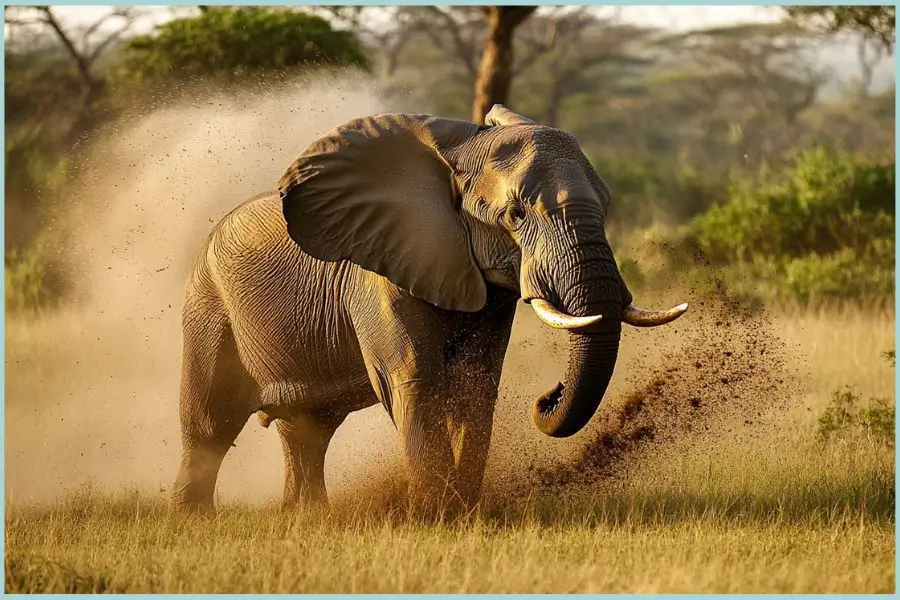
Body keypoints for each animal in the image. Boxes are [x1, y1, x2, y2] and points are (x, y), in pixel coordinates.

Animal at [172, 104, 684, 516]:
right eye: (516, 214)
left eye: (607, 204)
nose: (548, 394)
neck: (461, 152)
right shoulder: (379, 274)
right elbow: (417, 379)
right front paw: (433, 516)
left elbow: (475, 386)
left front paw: (463, 512)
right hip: (208, 305)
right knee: (209, 425)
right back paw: (195, 520)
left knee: (307, 429)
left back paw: (308, 518)